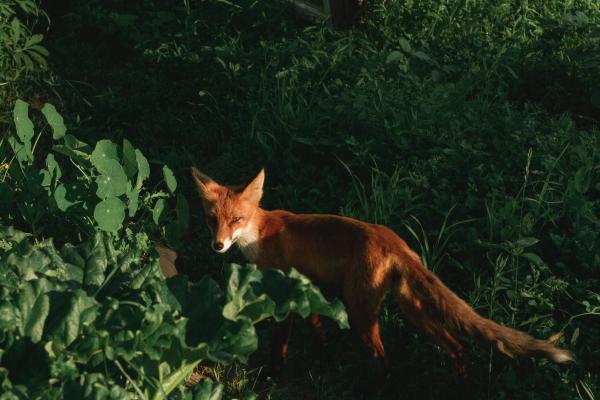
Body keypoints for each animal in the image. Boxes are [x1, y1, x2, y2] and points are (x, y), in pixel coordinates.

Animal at [191, 166, 572, 382]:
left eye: (236, 220)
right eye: (212, 220)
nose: (218, 246)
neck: (260, 234)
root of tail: (392, 240)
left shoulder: (283, 297)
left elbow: (279, 347)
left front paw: (273, 377)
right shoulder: (307, 291)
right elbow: (318, 331)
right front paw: (321, 358)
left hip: (361, 315)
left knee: (386, 362)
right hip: (412, 310)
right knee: (457, 346)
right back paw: (462, 384)